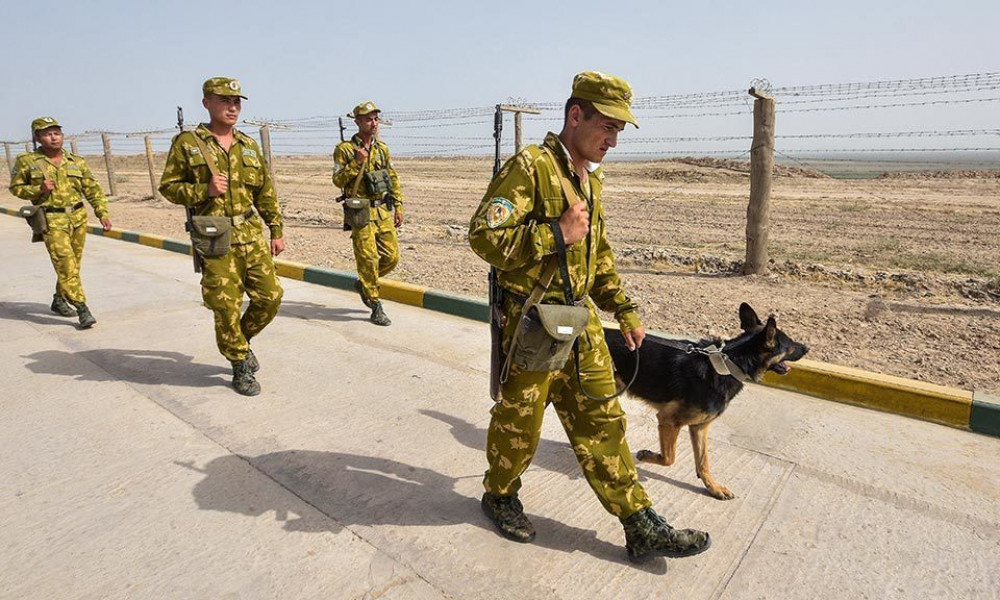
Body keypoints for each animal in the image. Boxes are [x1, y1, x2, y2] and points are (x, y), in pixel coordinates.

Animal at [604, 304, 808, 502]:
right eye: (791, 344)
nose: (807, 347)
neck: (730, 364)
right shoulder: (669, 421)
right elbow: (669, 458)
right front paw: (646, 455)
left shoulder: (700, 426)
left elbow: (703, 462)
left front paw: (714, 488)